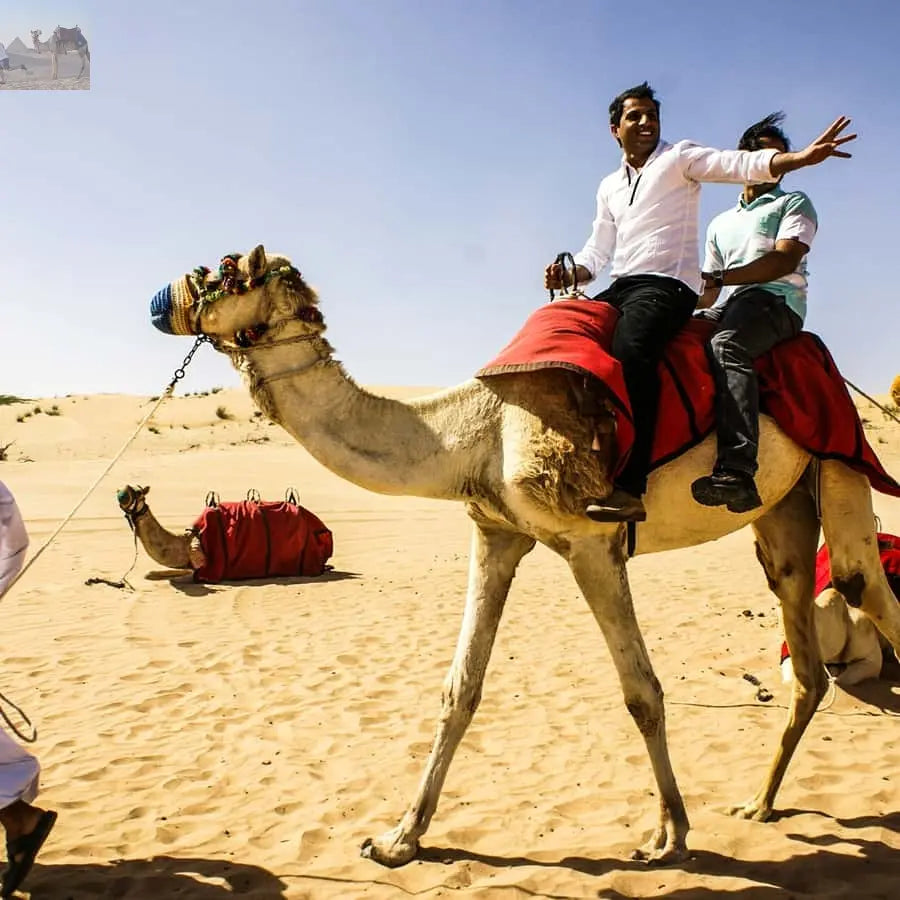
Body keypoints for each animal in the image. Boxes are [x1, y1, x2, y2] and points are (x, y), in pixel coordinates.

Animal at [148, 245, 900, 867]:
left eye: (224, 271)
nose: (159, 301)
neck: (474, 431)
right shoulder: (495, 531)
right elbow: (460, 688)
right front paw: (397, 839)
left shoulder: (591, 540)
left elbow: (642, 692)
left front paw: (669, 836)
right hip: (781, 511)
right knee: (806, 651)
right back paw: (760, 804)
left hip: (841, 462)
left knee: (863, 586)